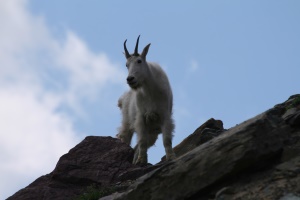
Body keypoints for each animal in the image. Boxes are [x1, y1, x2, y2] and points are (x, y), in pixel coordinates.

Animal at [115, 36, 176, 164]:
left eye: (139, 61)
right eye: (126, 64)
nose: (130, 79)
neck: (149, 91)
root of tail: (122, 99)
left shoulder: (165, 116)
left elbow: (166, 140)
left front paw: (171, 157)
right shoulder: (141, 118)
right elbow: (142, 141)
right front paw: (141, 161)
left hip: (152, 132)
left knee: (136, 147)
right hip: (127, 122)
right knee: (125, 138)